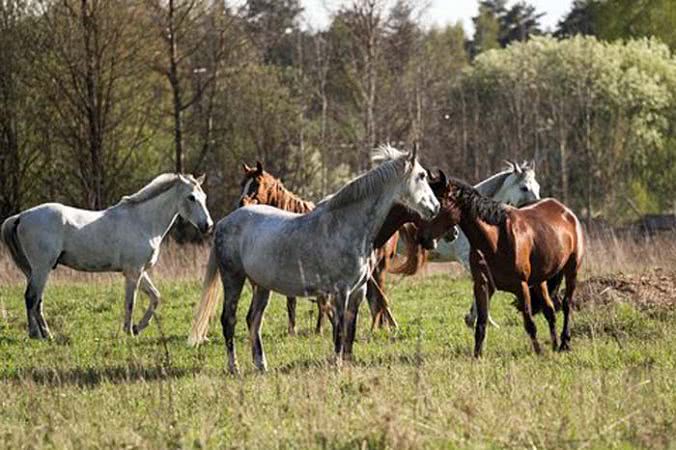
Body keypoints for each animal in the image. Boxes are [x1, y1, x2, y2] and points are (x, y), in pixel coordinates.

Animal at [1, 174, 213, 340]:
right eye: (191, 197)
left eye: (204, 197)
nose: (208, 226)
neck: (142, 222)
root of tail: (21, 217)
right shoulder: (133, 272)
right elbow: (130, 303)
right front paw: (129, 331)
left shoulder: (139, 271)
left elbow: (155, 297)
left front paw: (137, 327)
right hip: (42, 268)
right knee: (31, 298)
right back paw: (39, 334)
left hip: (35, 270)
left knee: (37, 300)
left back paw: (42, 334)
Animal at [406, 171, 588, 356]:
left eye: (437, 205)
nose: (421, 238)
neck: (495, 240)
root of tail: (566, 211)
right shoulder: (482, 285)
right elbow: (481, 323)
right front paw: (477, 355)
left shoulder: (521, 286)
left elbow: (529, 324)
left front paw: (539, 353)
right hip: (540, 280)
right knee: (549, 310)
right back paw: (555, 344)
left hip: (571, 270)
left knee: (566, 304)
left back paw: (564, 343)